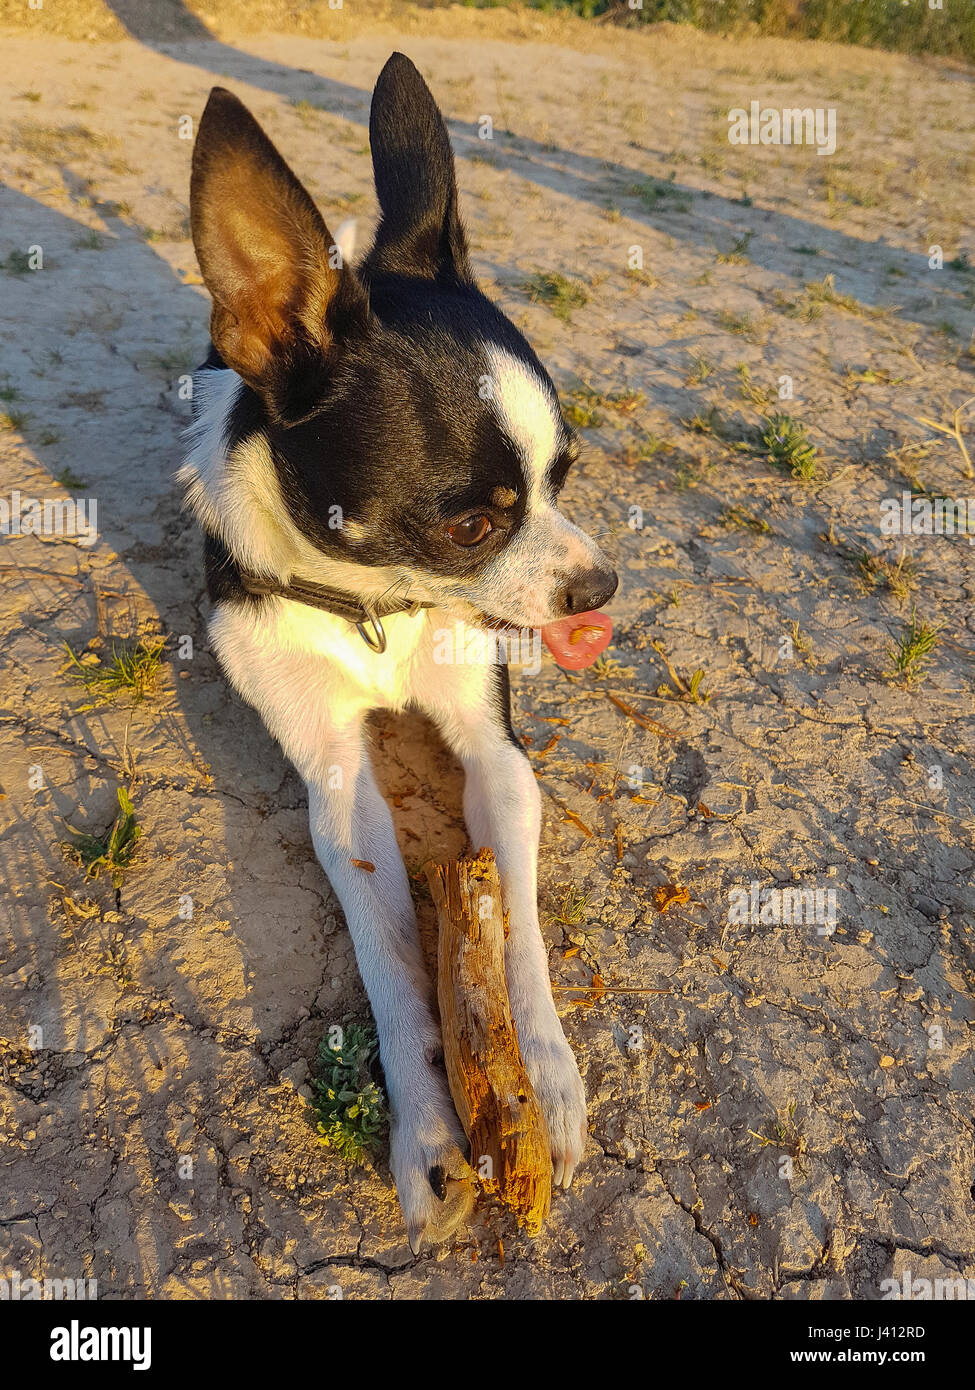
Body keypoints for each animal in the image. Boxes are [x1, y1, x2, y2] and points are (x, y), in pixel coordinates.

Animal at [180, 51, 614, 1251]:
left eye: (566, 476)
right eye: (470, 525)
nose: (598, 587)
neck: (377, 604)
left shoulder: (497, 758)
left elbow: (515, 923)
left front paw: (543, 1074)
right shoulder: (339, 785)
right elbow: (384, 950)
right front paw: (427, 1126)